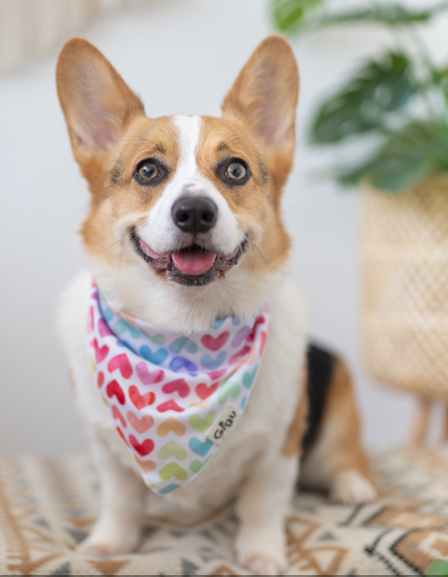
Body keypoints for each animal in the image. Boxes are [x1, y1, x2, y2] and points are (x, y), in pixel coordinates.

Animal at [57, 35, 378, 572]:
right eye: (148, 170)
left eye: (235, 170)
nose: (194, 212)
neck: (185, 333)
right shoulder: (106, 446)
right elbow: (120, 500)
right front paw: (108, 545)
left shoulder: (278, 451)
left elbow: (262, 506)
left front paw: (262, 555)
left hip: (338, 405)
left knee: (344, 457)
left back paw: (353, 486)